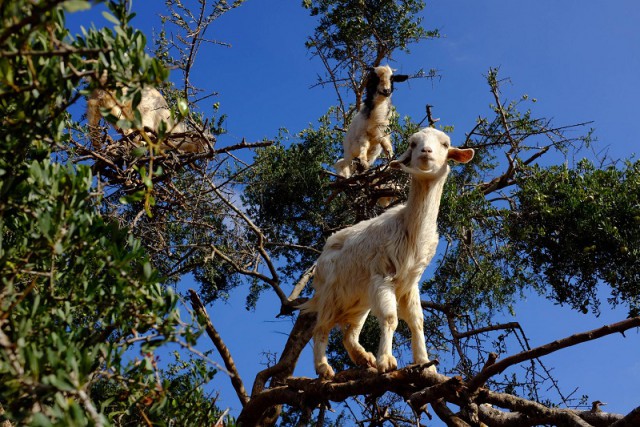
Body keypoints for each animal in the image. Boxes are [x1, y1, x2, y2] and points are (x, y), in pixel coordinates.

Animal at [302, 129, 476, 380]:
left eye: (445, 144)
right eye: (413, 144)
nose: (425, 151)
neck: (410, 229)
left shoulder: (410, 283)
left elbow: (417, 321)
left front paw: (425, 364)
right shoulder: (383, 277)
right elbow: (390, 318)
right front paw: (386, 361)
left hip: (359, 299)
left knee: (349, 332)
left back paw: (363, 358)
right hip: (330, 295)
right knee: (321, 328)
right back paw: (324, 367)